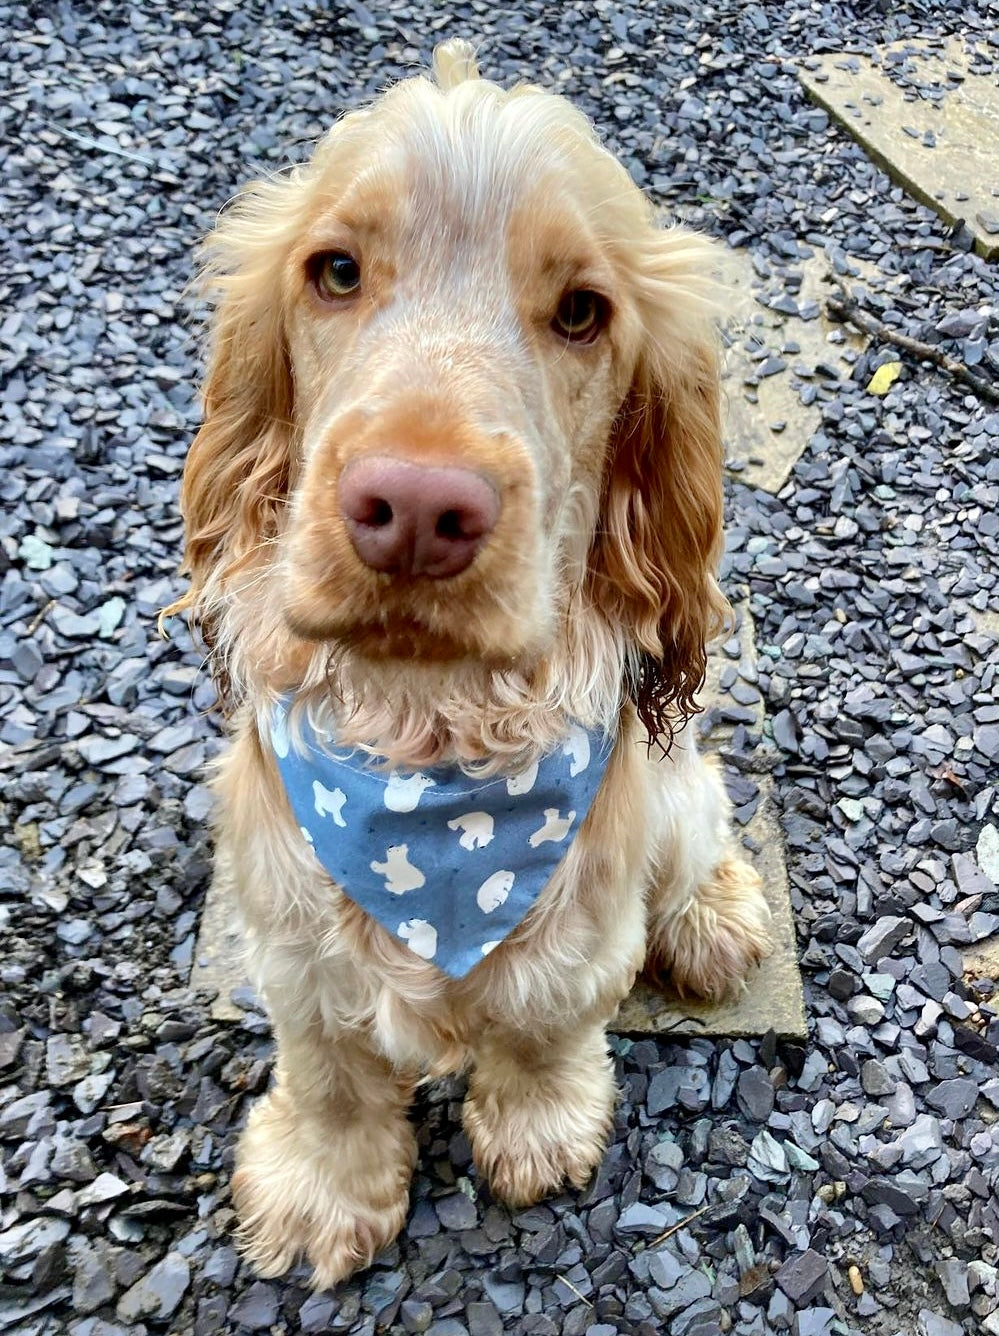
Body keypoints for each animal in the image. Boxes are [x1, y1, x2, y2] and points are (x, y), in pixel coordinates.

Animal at [165, 41, 774, 1287]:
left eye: (583, 311)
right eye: (335, 271)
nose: (413, 509)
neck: (427, 742)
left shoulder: (581, 918)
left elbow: (543, 1027)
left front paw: (538, 1135)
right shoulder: (289, 927)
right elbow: (332, 1068)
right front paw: (320, 1190)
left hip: (675, 787)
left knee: (702, 826)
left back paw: (713, 920)